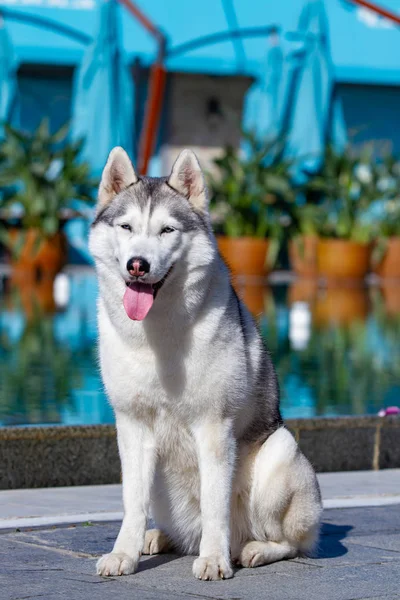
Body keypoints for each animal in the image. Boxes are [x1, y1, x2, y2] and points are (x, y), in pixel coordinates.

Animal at [90, 146, 322, 580]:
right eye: (127, 227)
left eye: (167, 230)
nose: (137, 265)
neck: (157, 333)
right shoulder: (132, 425)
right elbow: (132, 503)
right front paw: (123, 553)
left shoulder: (213, 426)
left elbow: (215, 504)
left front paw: (214, 559)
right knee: (173, 525)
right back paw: (159, 537)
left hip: (280, 454)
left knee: (290, 542)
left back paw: (250, 549)